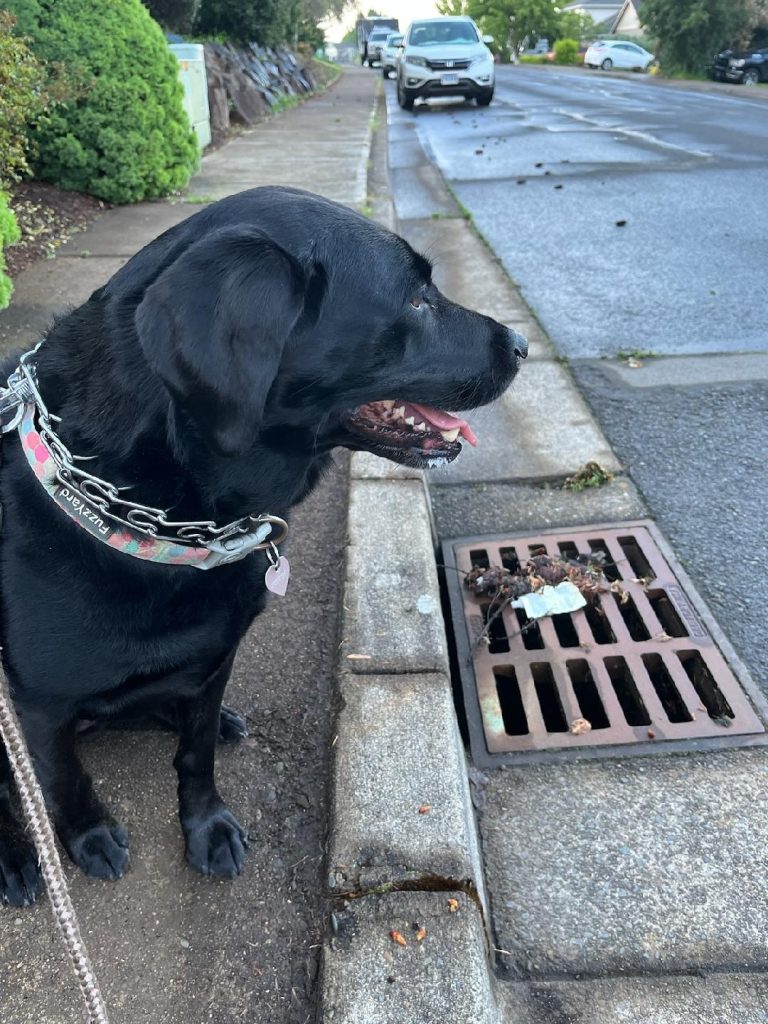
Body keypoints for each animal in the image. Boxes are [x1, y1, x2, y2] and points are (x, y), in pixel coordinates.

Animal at [0, 184, 528, 905]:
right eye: (417, 298)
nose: (523, 343)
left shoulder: (216, 657)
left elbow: (194, 757)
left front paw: (207, 826)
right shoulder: (37, 707)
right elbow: (62, 782)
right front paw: (88, 836)